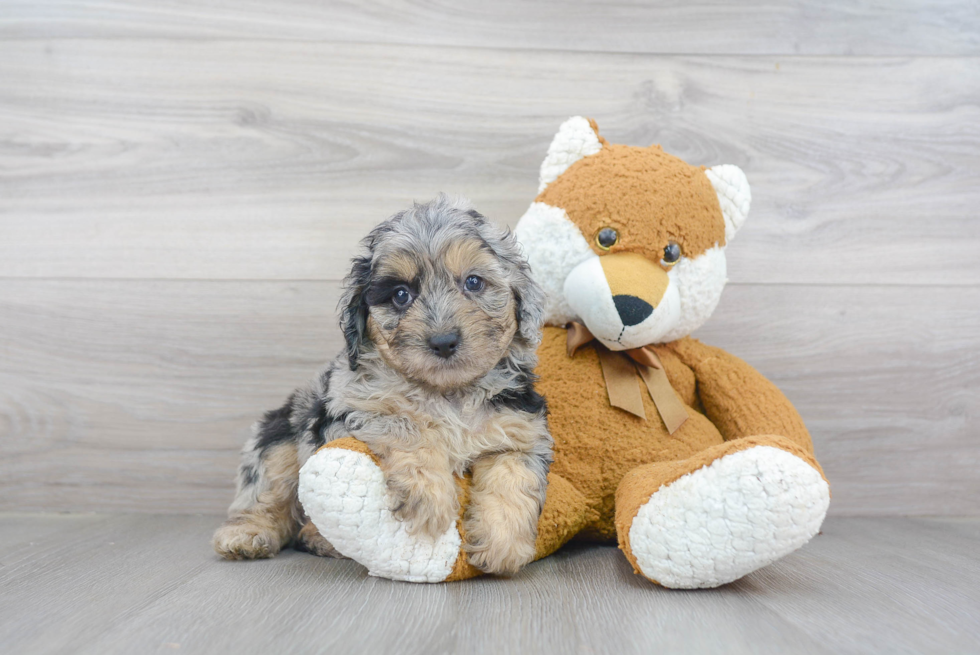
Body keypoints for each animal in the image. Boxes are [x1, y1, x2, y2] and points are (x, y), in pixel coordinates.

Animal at [212, 197, 556, 576]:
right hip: (278, 438)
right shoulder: (351, 410)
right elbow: (407, 425)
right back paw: (249, 535)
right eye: (401, 294)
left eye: (474, 282)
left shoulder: (519, 431)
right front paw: (430, 499)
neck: (447, 393)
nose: (443, 342)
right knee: (265, 493)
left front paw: (501, 546)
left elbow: (514, 477)